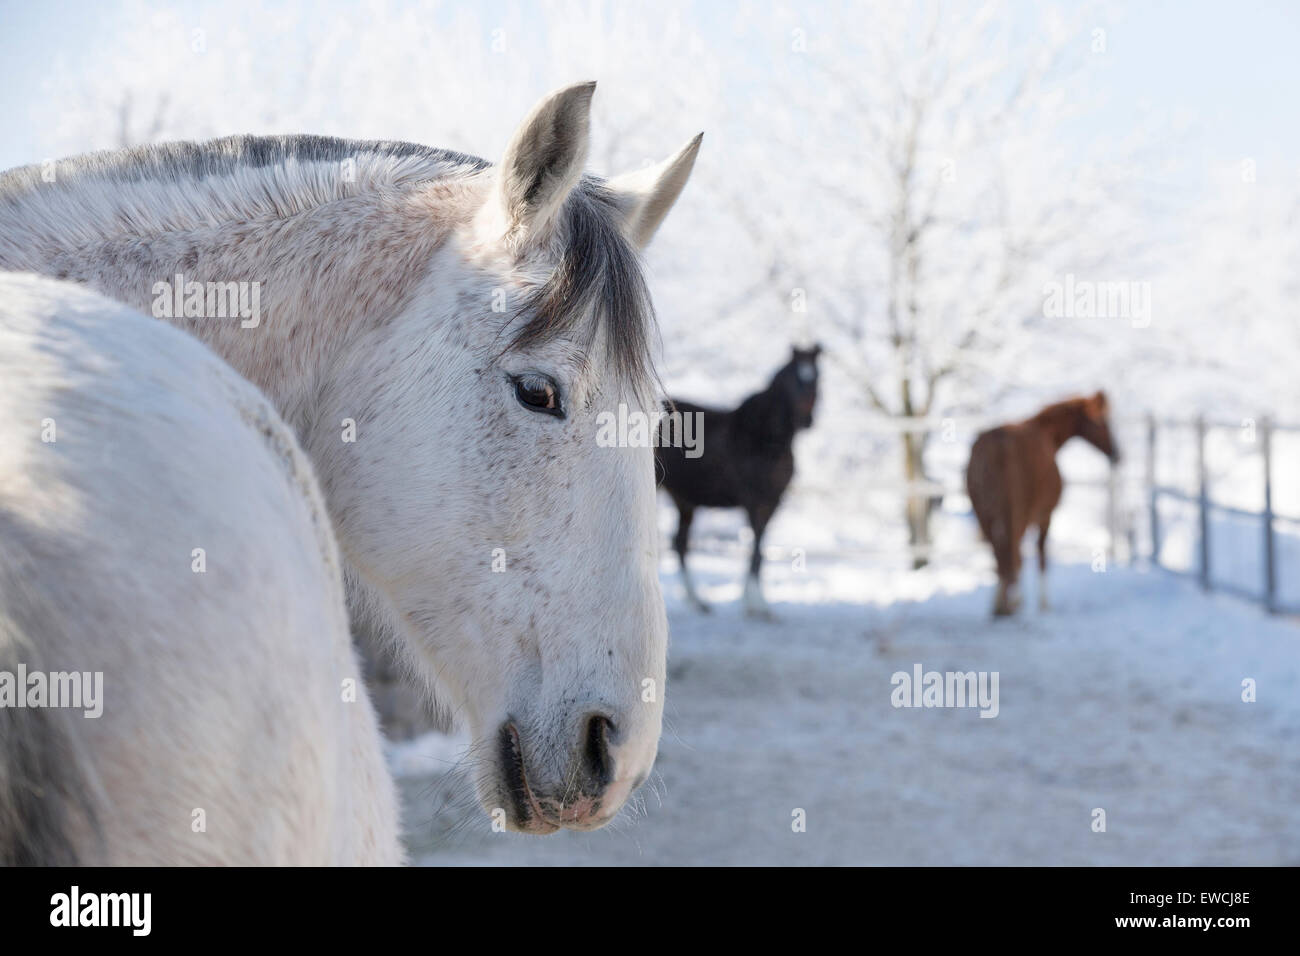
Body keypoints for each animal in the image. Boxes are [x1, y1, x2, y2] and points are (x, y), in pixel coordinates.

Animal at [655, 348, 816, 616]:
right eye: (794, 378)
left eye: (816, 377)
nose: (808, 420)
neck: (765, 438)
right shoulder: (754, 501)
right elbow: (756, 550)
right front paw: (755, 604)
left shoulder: (773, 501)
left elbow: (758, 550)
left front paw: (757, 603)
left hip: (684, 501)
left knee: (680, 542)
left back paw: (697, 601)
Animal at [967, 392, 1118, 616]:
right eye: (1102, 421)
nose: (1117, 453)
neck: (1047, 434)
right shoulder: (1045, 516)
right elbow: (1041, 555)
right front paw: (1043, 604)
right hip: (1016, 514)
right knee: (1014, 555)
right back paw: (1013, 602)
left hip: (983, 514)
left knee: (1000, 555)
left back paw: (1001, 605)